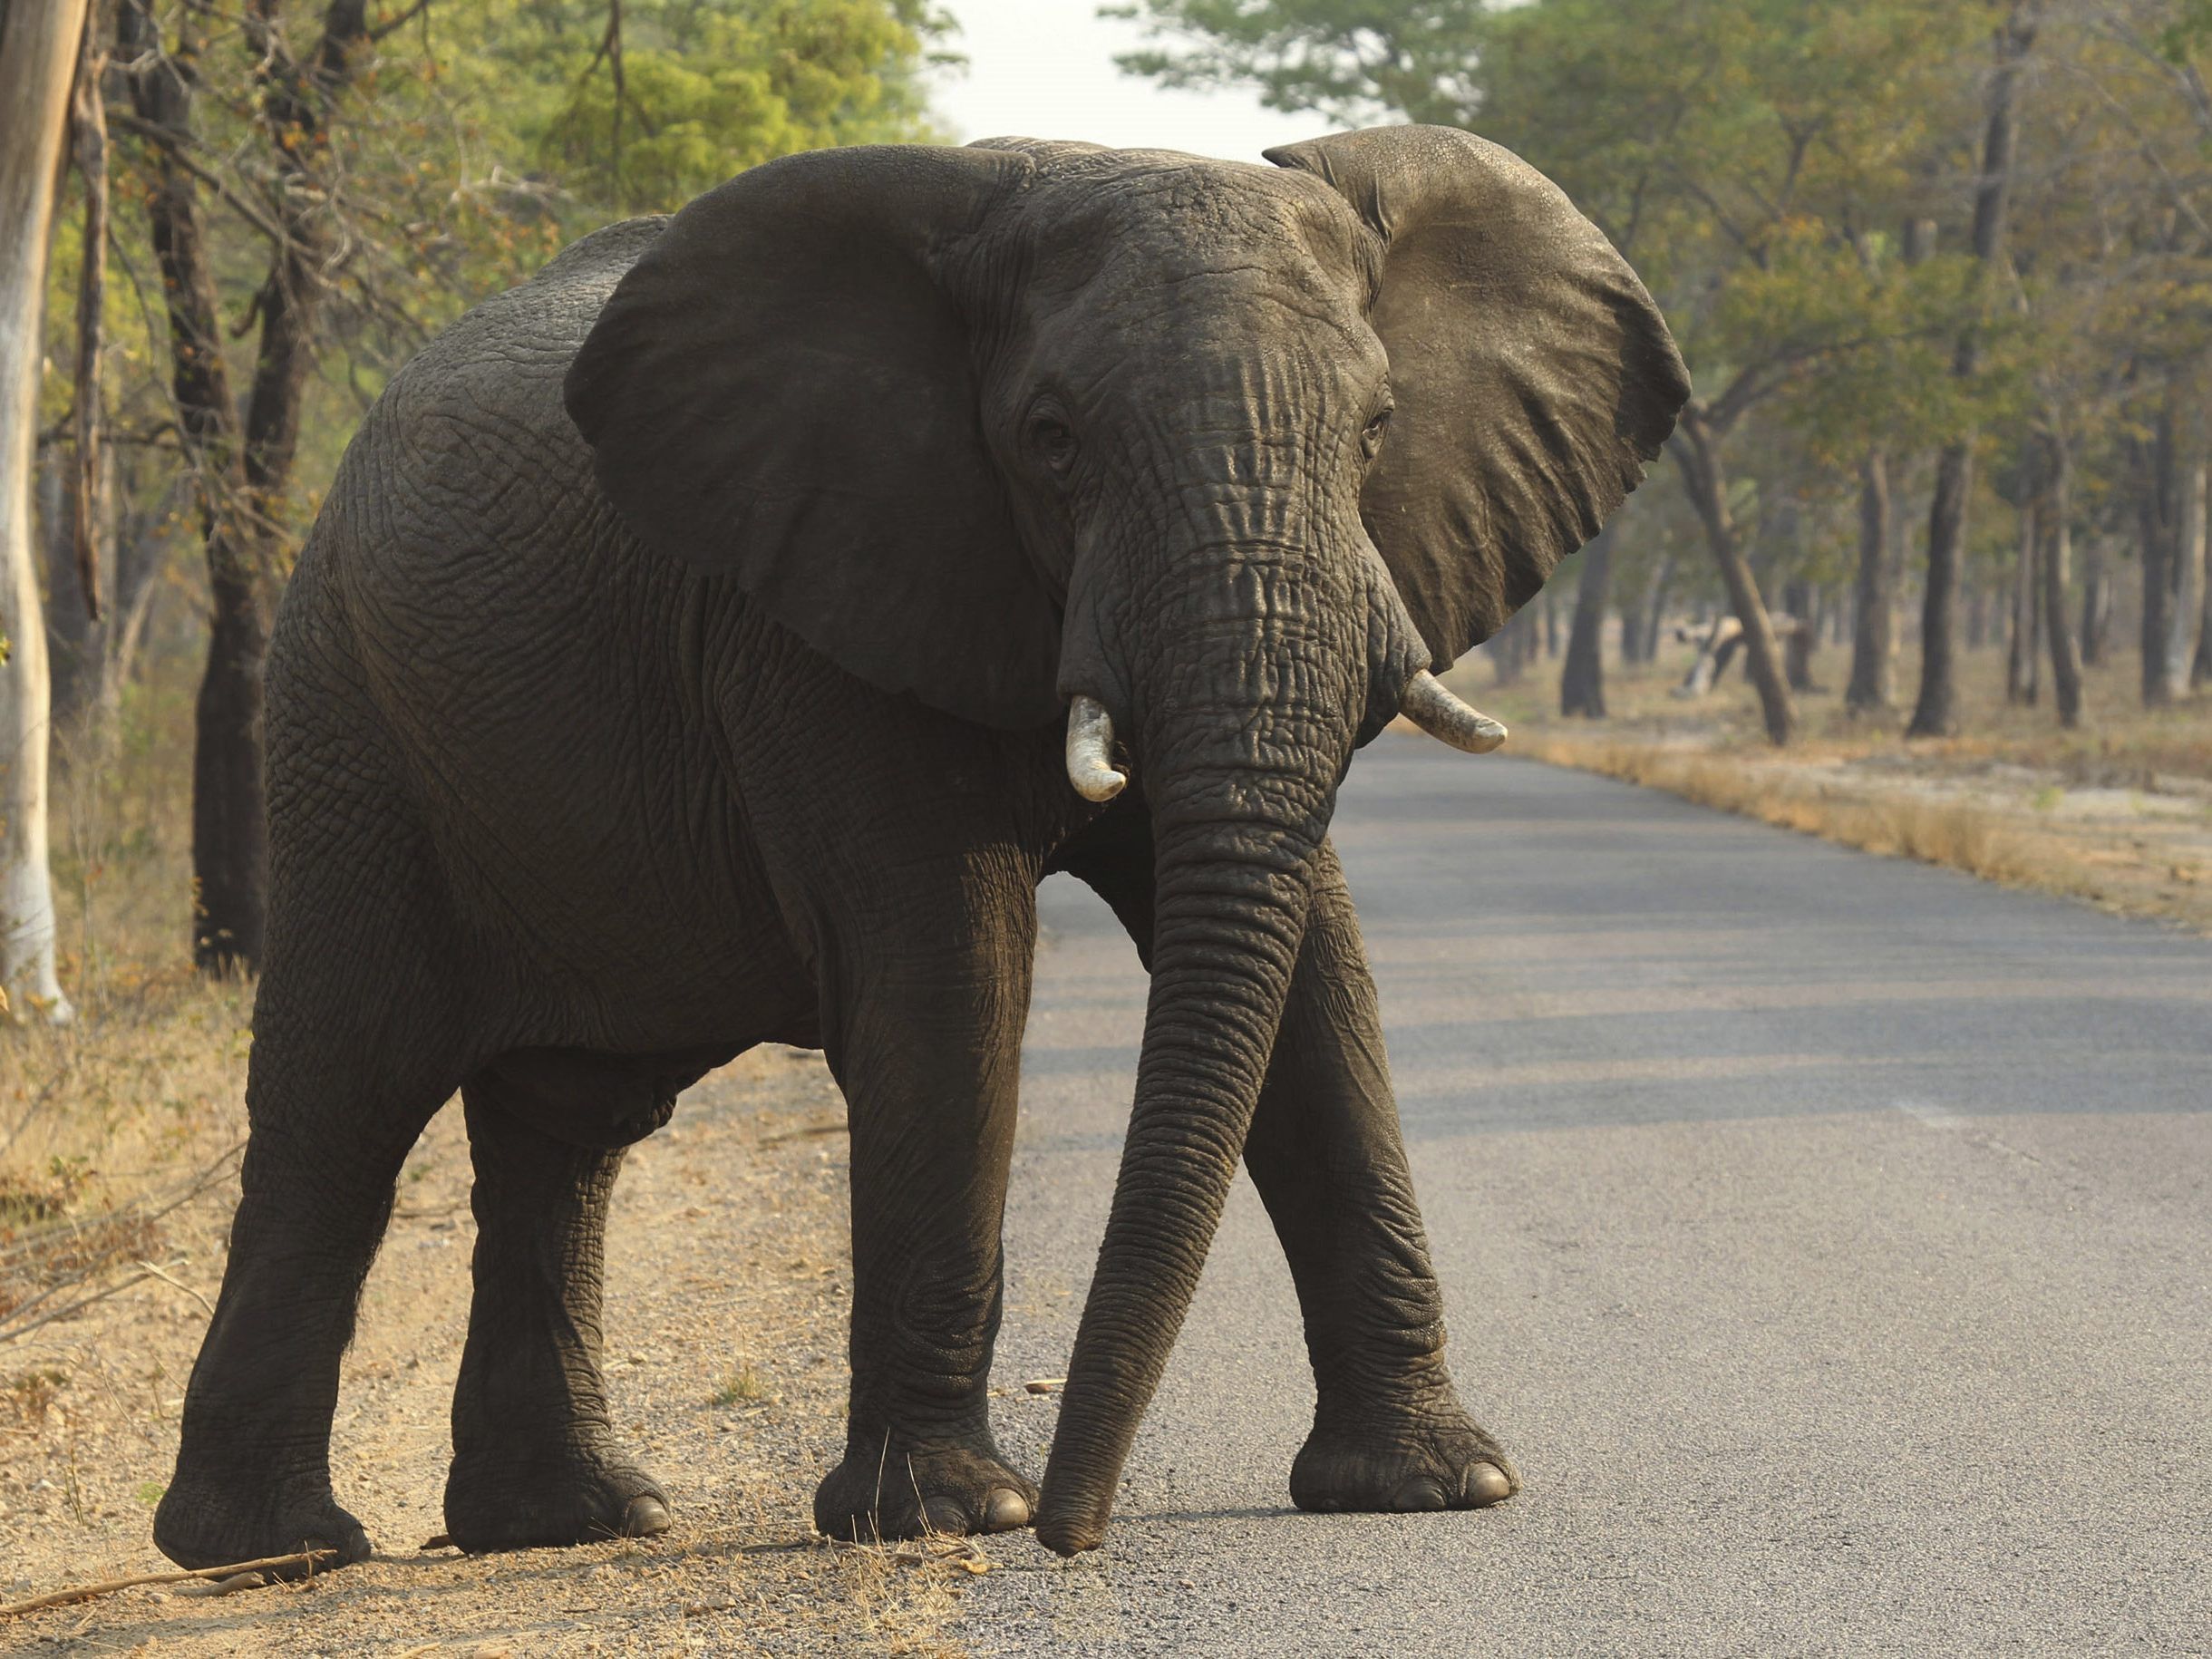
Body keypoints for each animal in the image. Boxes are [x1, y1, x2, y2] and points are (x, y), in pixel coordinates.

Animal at [153, 125, 1687, 1570]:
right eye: (1052, 438)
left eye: (1375, 430)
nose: (1080, 1530)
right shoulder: (814, 607)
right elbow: (953, 973)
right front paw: (949, 1515)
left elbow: (1319, 970)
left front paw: (1437, 1485)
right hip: (345, 718)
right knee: (346, 1093)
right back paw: (276, 1550)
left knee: (564, 1126)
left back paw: (571, 1520)